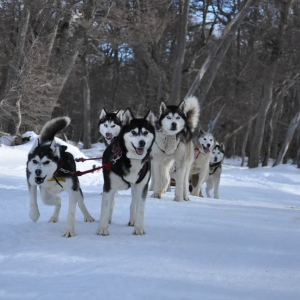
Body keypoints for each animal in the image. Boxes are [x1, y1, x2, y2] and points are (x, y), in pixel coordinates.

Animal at [97, 108, 156, 237]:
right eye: (133, 132)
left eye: (145, 132)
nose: (142, 142)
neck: (132, 159)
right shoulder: (109, 186)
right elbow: (105, 207)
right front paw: (102, 228)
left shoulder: (142, 187)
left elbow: (140, 209)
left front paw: (139, 228)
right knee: (111, 203)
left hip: (135, 188)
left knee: (133, 203)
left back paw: (132, 220)